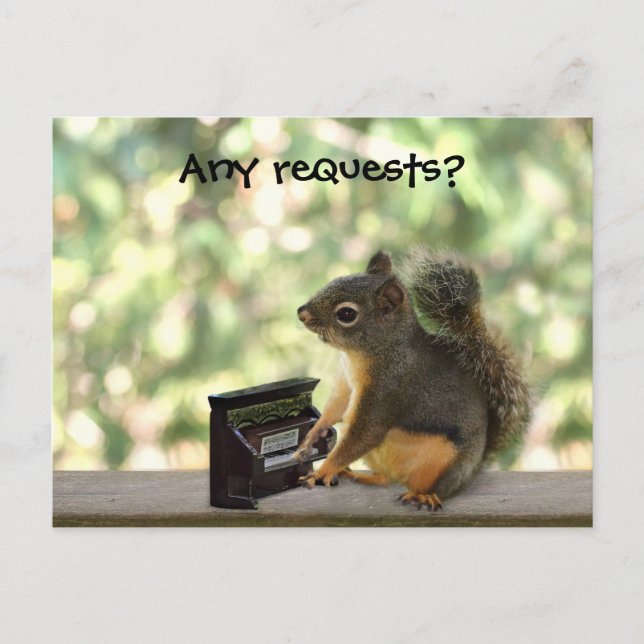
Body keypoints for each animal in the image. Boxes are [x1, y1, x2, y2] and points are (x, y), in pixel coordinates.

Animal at [294, 247, 532, 510]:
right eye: (337, 280)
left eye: (346, 314)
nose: (302, 313)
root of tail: (476, 465)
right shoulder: (346, 385)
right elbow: (334, 409)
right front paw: (311, 437)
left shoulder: (388, 389)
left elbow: (364, 435)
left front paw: (321, 471)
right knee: (385, 478)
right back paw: (360, 475)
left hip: (447, 464)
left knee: (439, 488)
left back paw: (424, 496)